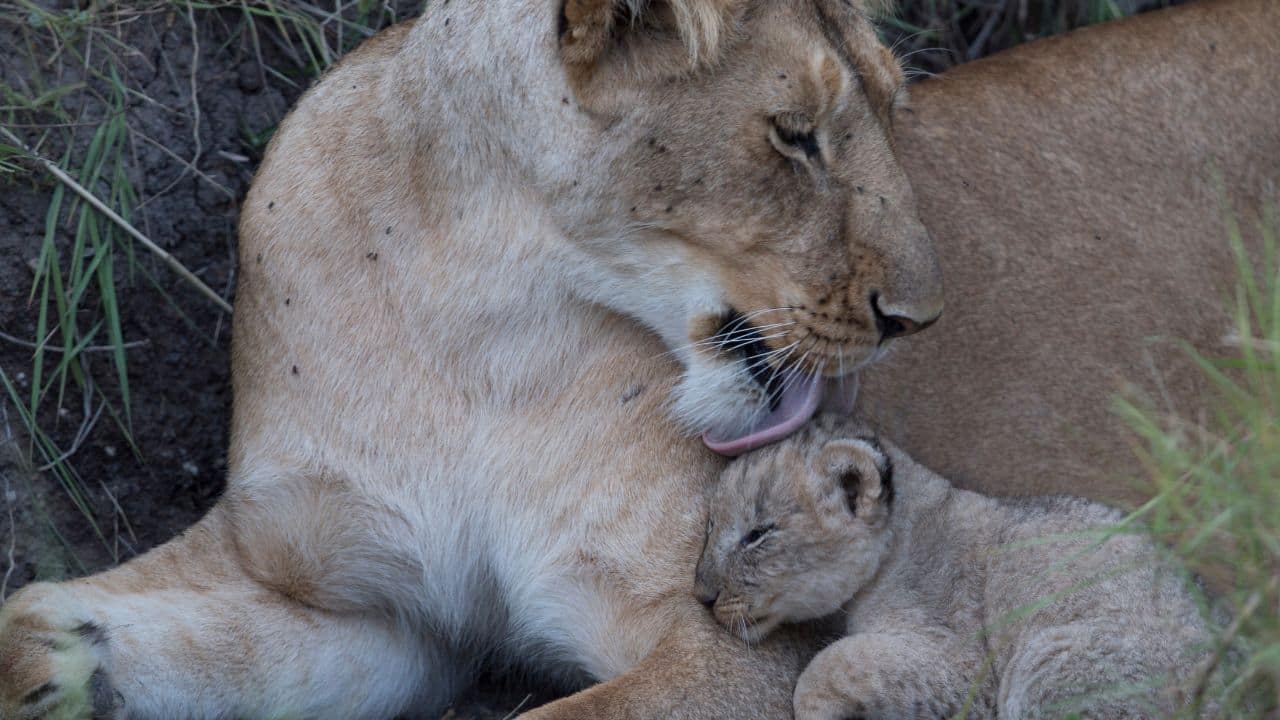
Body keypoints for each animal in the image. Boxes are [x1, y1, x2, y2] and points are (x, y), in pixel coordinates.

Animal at [696, 414, 1209, 719]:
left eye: (757, 533)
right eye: (709, 526)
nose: (702, 596)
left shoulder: (963, 669)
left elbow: (836, 663)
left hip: (1051, 662)